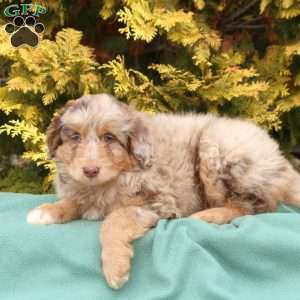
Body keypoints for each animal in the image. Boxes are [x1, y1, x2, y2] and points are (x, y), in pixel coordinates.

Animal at [27, 93, 298, 288]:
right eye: (75, 137)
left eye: (109, 138)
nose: (90, 170)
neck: (111, 179)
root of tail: (280, 158)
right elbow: (73, 201)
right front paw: (47, 210)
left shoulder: (157, 202)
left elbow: (116, 217)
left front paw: (115, 266)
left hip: (216, 146)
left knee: (251, 206)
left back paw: (209, 215)